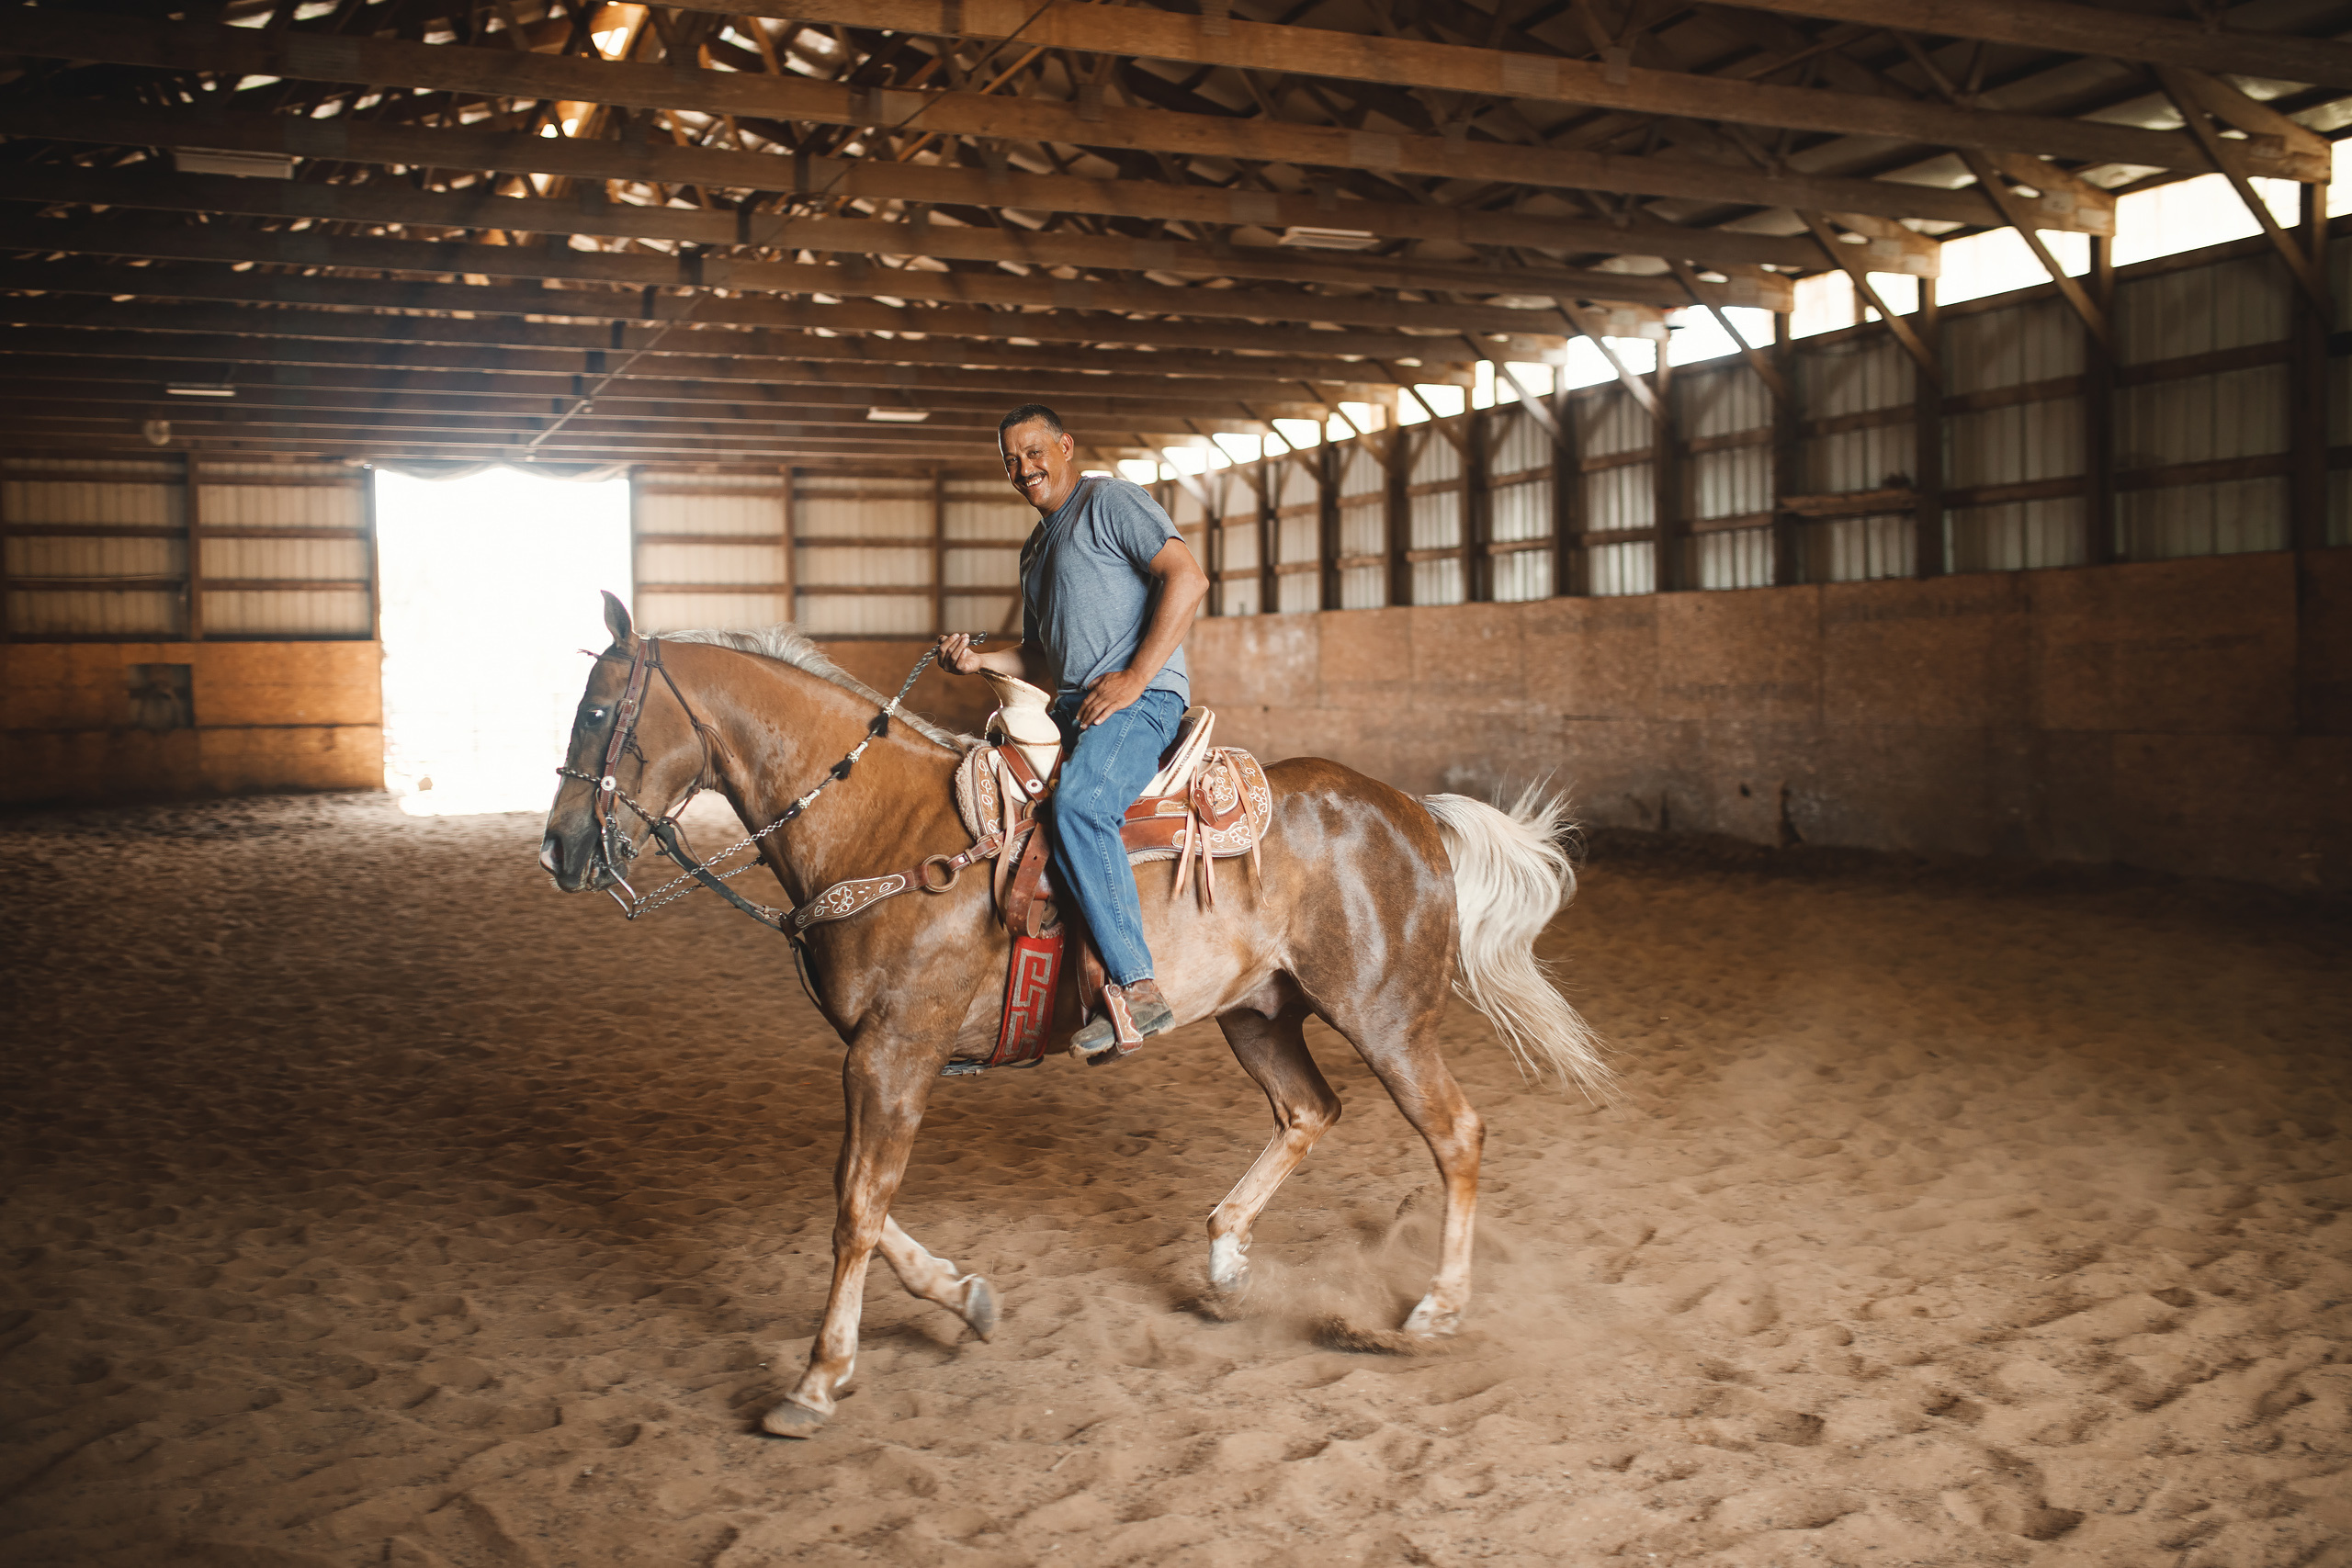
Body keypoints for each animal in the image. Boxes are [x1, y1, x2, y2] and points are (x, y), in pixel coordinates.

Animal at [539, 592, 1606, 1438]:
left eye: (597, 712)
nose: (558, 851)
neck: (882, 826)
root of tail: (1413, 810)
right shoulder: (879, 1057)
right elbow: (859, 1199)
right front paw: (961, 1297)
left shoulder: (893, 1051)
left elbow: (855, 1206)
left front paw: (817, 1377)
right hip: (1258, 1013)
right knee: (1310, 1111)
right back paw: (1225, 1260)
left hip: (1383, 1016)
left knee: (1456, 1133)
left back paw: (1434, 1310)